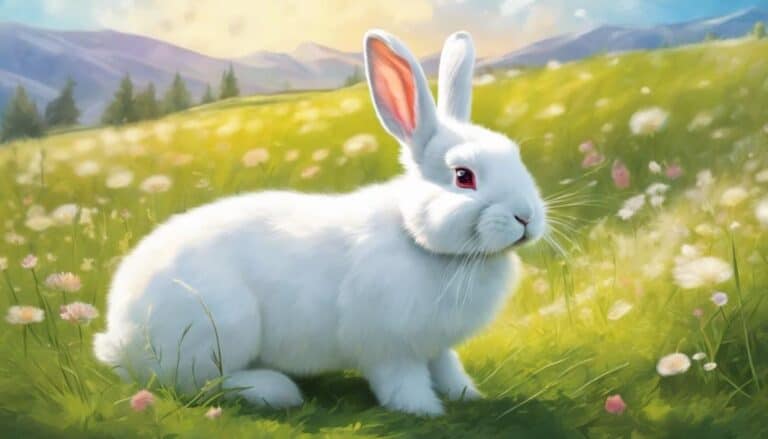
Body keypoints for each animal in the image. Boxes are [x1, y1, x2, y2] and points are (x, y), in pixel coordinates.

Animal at [93, 29, 547, 416]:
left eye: (516, 155)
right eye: (463, 176)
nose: (526, 217)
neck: (418, 239)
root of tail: (118, 334)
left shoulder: (435, 346)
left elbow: (448, 368)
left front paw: (467, 395)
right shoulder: (389, 346)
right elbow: (403, 381)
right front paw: (424, 410)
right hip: (219, 328)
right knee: (196, 385)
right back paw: (275, 389)